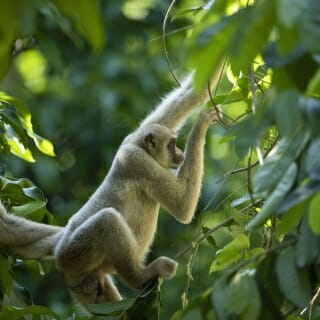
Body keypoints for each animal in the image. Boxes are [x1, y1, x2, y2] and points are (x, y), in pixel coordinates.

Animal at [0, 72, 218, 308]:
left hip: (88, 278)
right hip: (73, 255)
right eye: (171, 144)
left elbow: (189, 95)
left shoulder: (130, 140)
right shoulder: (135, 160)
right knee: (107, 220)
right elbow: (182, 207)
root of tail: (60, 247)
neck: (140, 148)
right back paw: (139, 277)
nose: (179, 153)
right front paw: (202, 124)